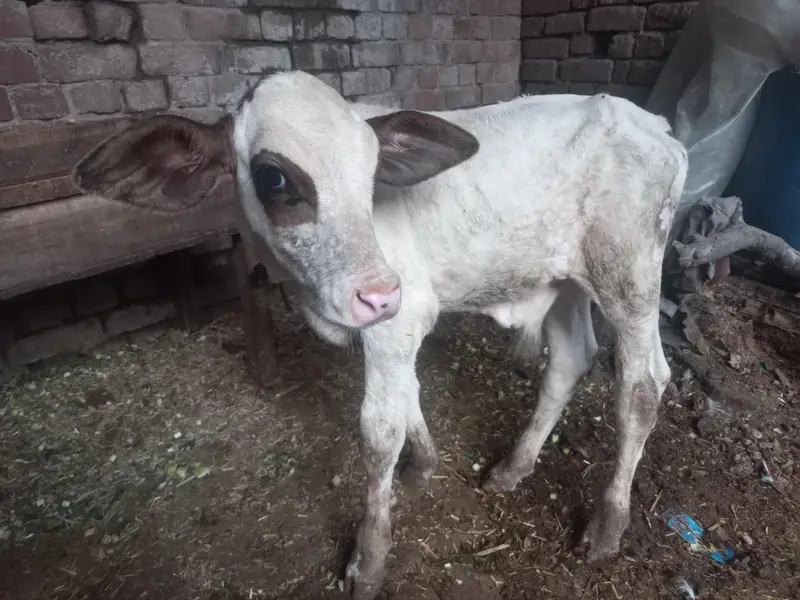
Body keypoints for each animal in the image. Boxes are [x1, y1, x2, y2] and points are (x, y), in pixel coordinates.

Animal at [73, 69, 688, 600]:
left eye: (373, 172)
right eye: (273, 177)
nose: (376, 293)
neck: (309, 289)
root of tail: (653, 123)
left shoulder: (400, 318)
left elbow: (378, 432)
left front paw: (367, 560)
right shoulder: (390, 329)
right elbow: (409, 397)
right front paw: (423, 466)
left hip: (629, 274)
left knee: (642, 385)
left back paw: (608, 524)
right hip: (565, 279)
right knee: (569, 360)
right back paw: (514, 467)